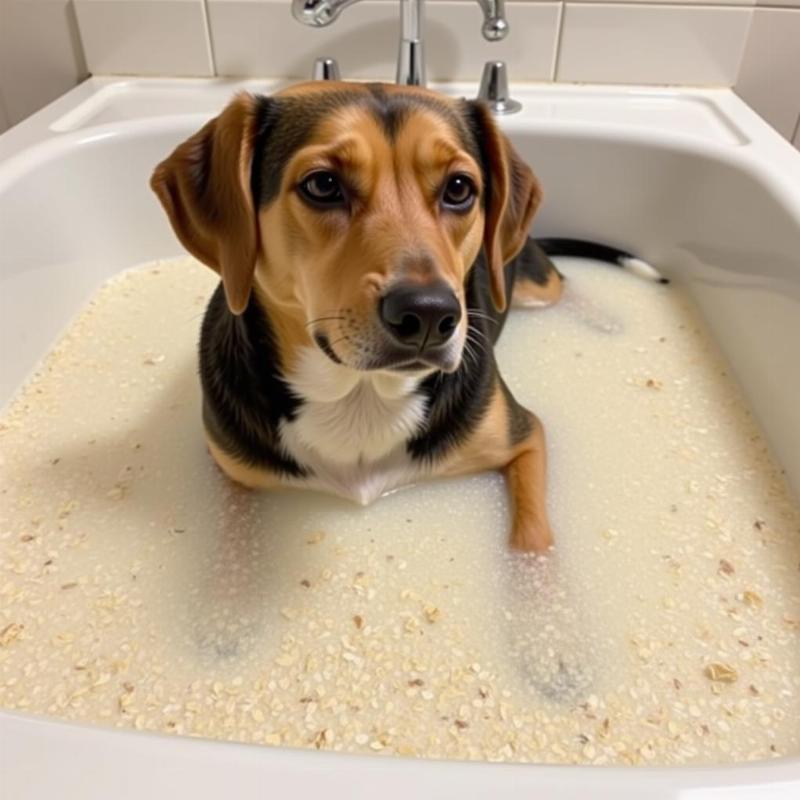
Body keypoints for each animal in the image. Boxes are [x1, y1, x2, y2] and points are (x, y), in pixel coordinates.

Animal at [148, 83, 636, 556]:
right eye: (322, 184)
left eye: (459, 188)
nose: (429, 313)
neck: (360, 396)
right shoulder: (234, 477)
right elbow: (233, 555)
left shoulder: (526, 438)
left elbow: (532, 539)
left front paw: (537, 578)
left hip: (536, 284)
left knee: (564, 287)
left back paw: (607, 321)